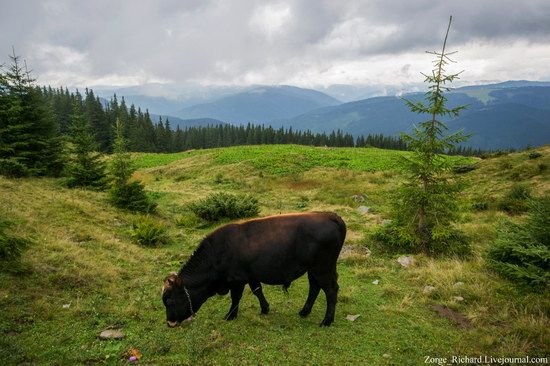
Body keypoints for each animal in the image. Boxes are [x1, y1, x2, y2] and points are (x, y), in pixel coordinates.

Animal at [162, 210, 348, 328]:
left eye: (169, 301)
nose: (170, 323)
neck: (218, 252)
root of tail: (329, 215)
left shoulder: (236, 279)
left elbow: (236, 298)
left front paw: (230, 315)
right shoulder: (251, 275)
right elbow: (257, 291)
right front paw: (265, 308)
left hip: (321, 269)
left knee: (330, 290)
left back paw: (326, 321)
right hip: (315, 269)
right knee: (315, 288)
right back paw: (304, 312)